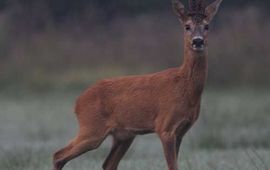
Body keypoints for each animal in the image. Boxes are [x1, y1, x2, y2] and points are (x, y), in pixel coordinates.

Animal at [53, 0, 224, 169]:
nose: (198, 41)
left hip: (124, 135)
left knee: (108, 163)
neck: (185, 89)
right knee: (58, 155)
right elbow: (172, 166)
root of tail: (77, 103)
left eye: (207, 26)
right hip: (91, 128)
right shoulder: (164, 127)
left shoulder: (181, 131)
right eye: (187, 26)